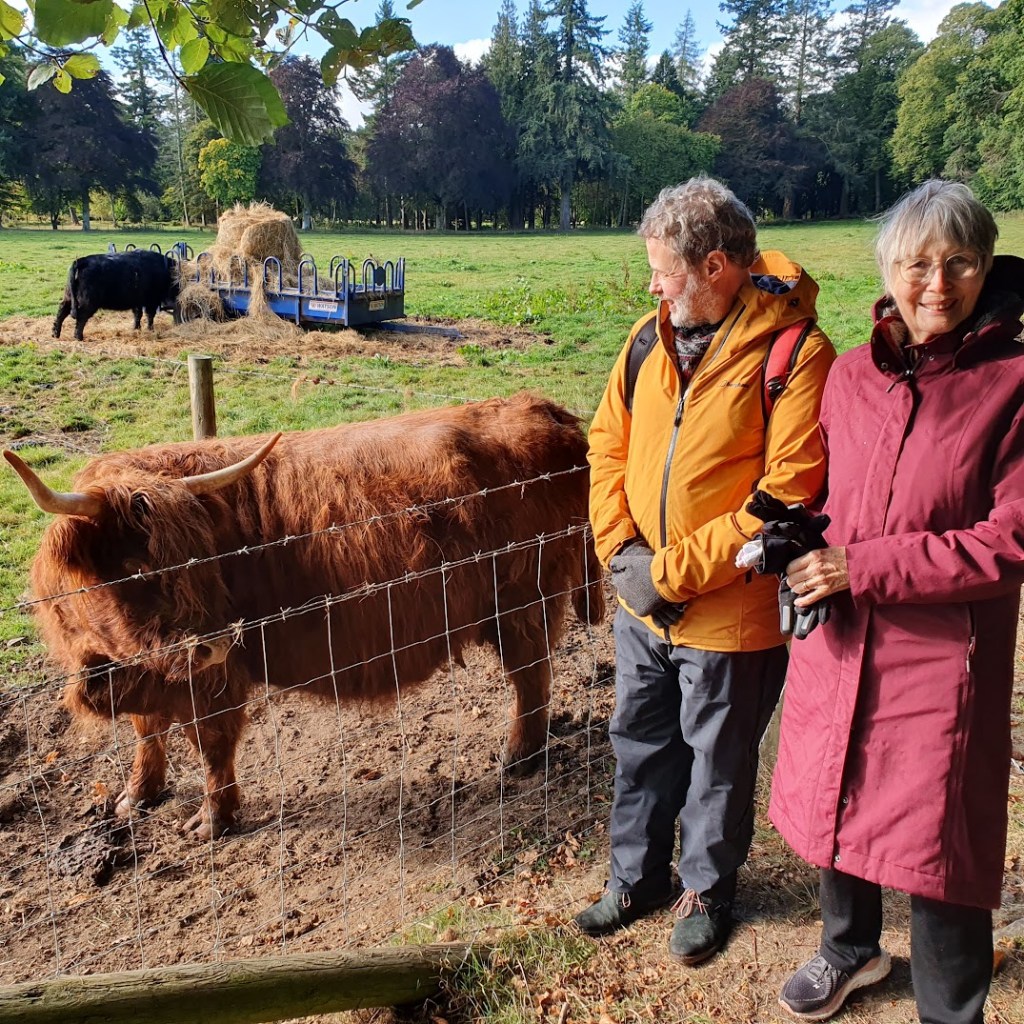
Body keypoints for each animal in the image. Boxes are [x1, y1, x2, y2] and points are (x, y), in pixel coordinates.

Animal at [6, 393, 605, 840]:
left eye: (199, 561)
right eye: (132, 570)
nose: (213, 642)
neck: (104, 658)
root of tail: (545, 410)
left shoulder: (214, 682)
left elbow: (211, 745)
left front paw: (211, 821)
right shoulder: (144, 671)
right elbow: (146, 731)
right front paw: (137, 796)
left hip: (524, 599)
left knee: (531, 677)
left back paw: (518, 758)